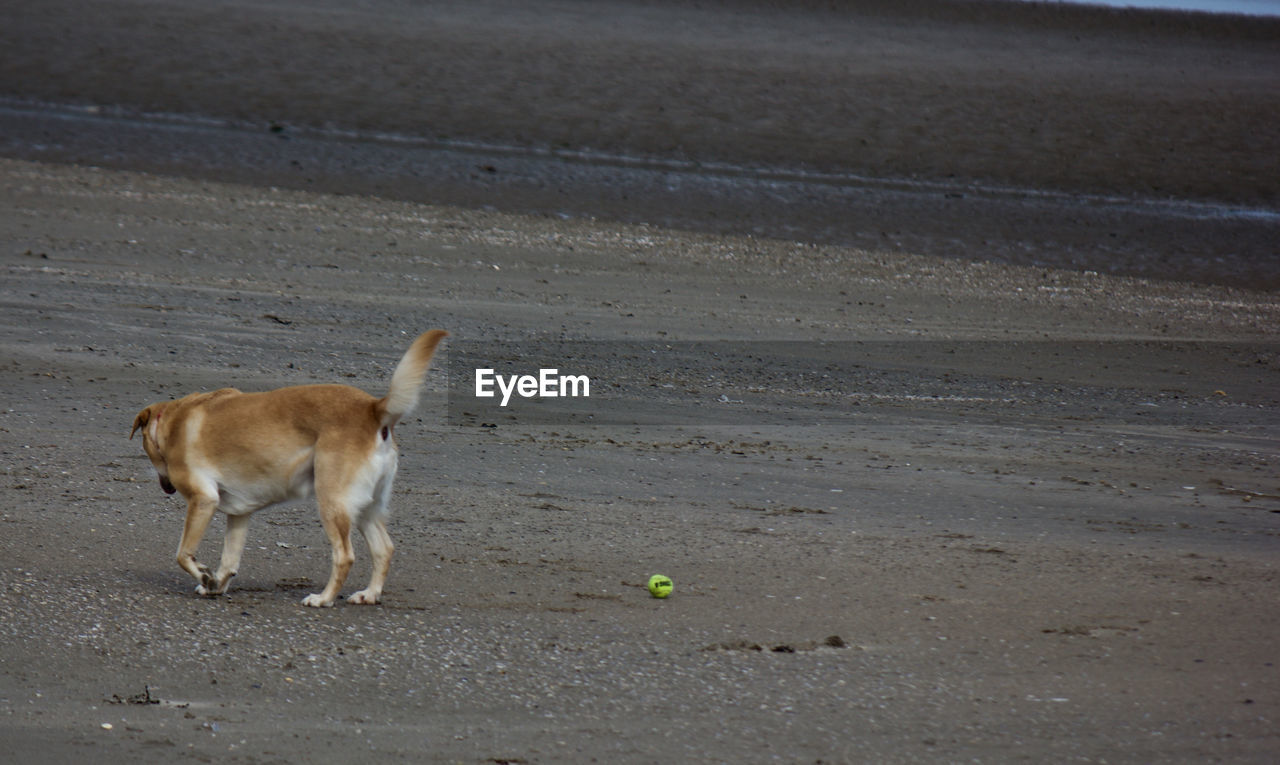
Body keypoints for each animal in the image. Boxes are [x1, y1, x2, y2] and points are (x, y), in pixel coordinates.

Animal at [131, 332, 450, 608]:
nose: (166, 487)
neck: (172, 421)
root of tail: (373, 408)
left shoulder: (203, 500)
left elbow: (183, 554)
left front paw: (203, 575)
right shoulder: (239, 514)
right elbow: (229, 560)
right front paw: (215, 584)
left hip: (332, 502)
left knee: (345, 556)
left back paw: (323, 599)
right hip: (365, 507)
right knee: (384, 549)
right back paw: (369, 594)